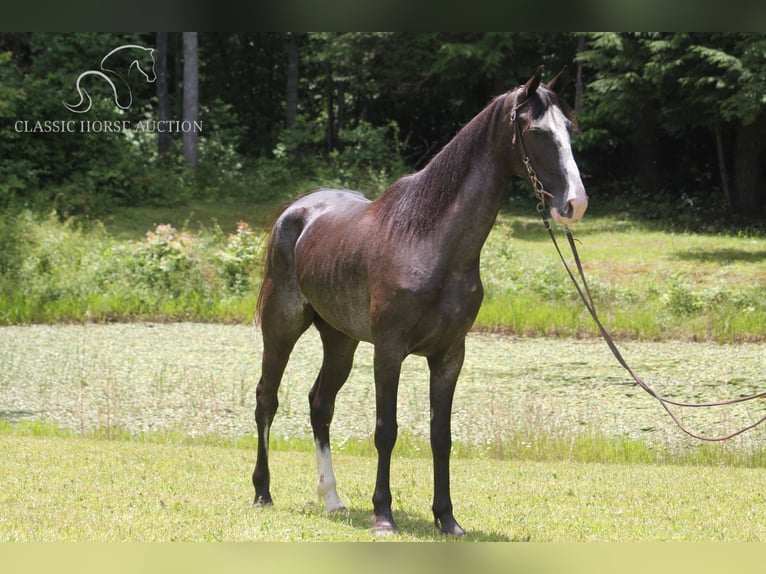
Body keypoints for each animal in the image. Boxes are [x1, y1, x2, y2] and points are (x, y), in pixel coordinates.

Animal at [252, 65, 588, 536]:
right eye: (536, 131)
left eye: (570, 129)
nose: (575, 203)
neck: (430, 241)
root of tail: (297, 210)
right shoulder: (389, 351)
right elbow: (386, 430)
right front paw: (383, 515)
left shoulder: (449, 356)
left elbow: (440, 437)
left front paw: (447, 519)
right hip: (281, 326)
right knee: (267, 398)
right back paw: (263, 492)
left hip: (340, 340)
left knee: (320, 404)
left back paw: (332, 499)